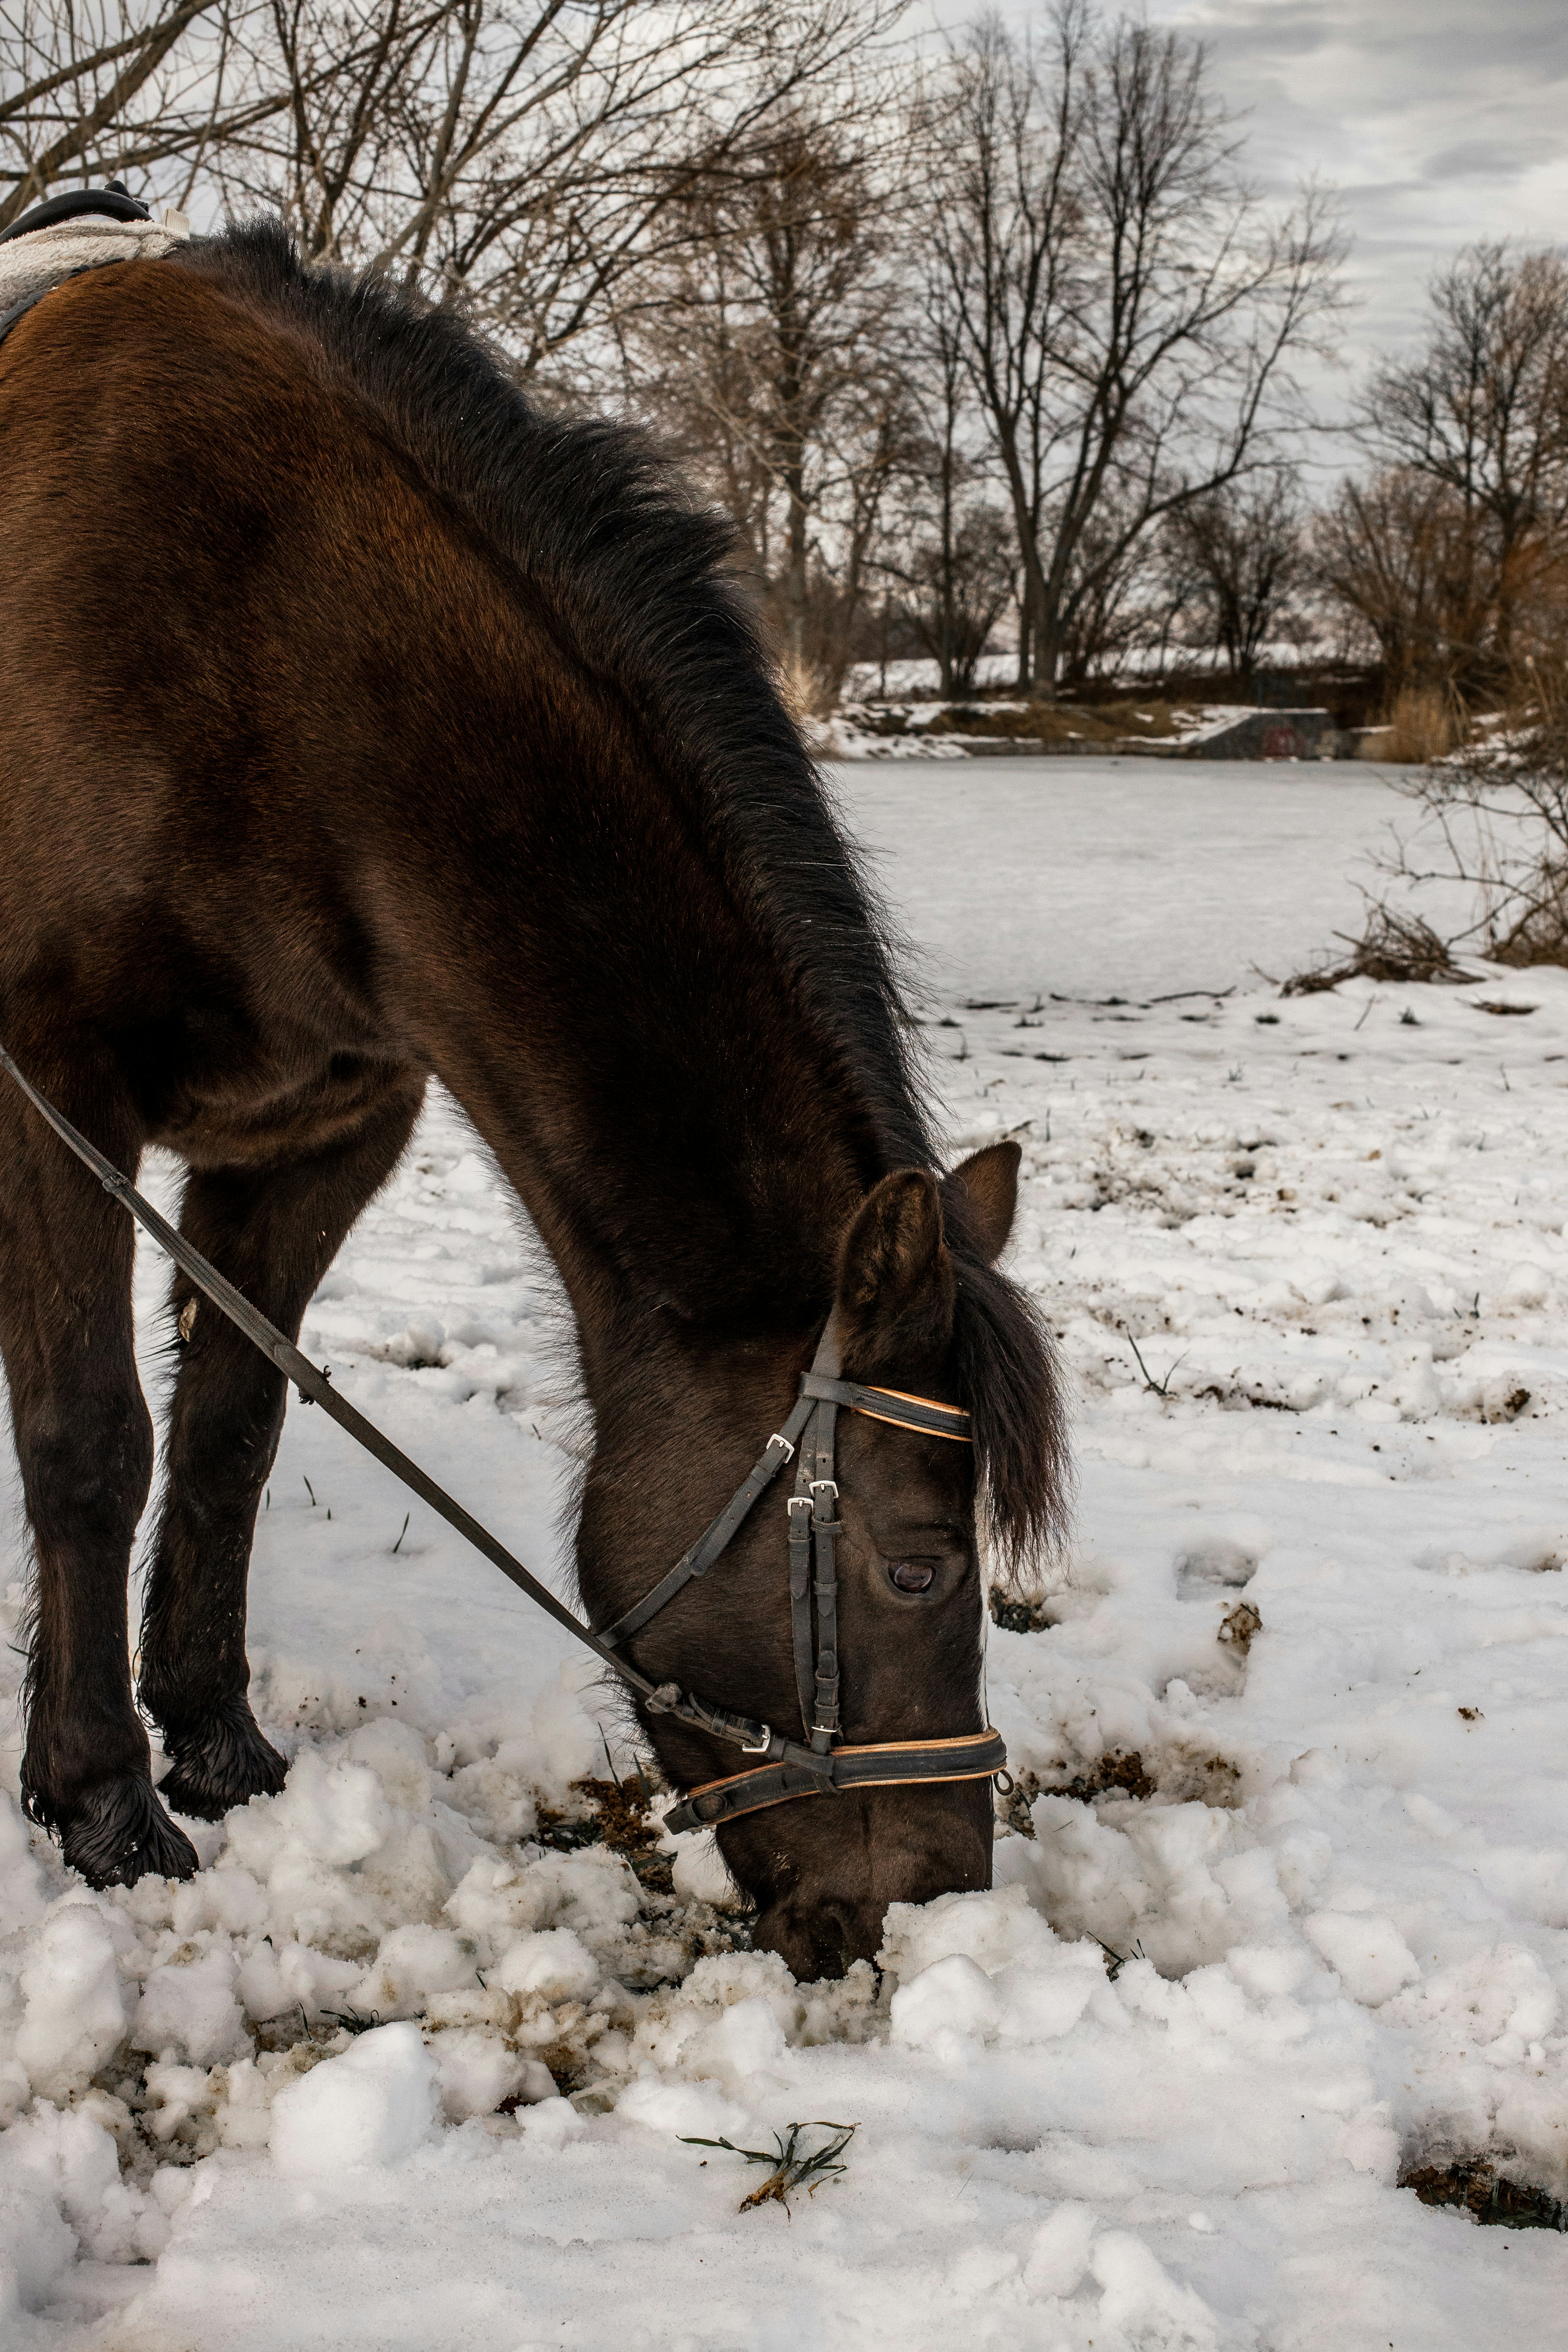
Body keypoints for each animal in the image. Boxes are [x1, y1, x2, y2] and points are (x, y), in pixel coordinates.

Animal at [0, 225, 1067, 1985]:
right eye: (916, 1565)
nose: (926, 1904)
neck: (258, 642)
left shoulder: (322, 1130)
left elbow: (230, 1431)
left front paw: (212, 1739)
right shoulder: (58, 1091)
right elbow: (93, 1440)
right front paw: (100, 1799)